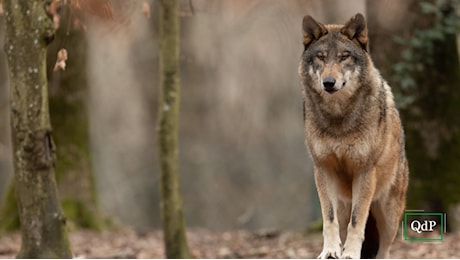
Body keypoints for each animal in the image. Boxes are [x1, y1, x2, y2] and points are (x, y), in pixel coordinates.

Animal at [298, 13, 410, 258]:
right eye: (321, 57)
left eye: (343, 57)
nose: (328, 83)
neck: (338, 118)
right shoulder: (323, 169)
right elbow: (329, 220)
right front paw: (330, 252)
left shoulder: (365, 171)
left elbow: (357, 221)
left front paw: (350, 254)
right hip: (344, 203)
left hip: (388, 215)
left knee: (384, 249)